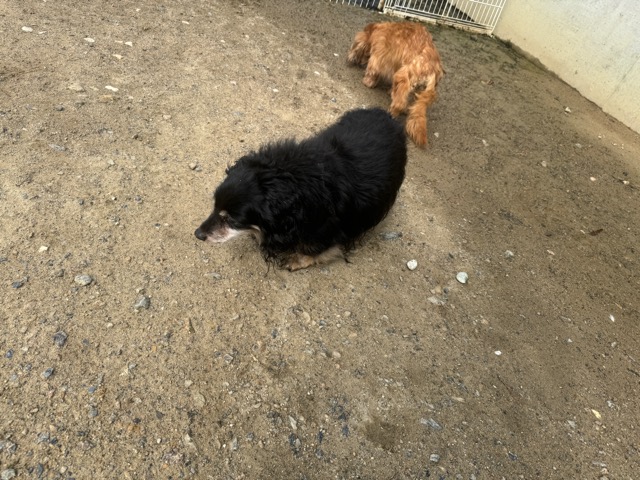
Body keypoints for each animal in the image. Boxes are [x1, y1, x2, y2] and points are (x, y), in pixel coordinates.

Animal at [194, 108, 407, 271]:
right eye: (214, 206)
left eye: (232, 220)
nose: (198, 234)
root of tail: (387, 114)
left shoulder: (330, 229)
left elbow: (314, 249)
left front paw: (296, 260)